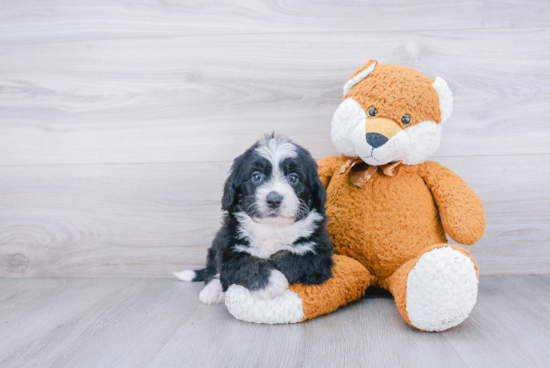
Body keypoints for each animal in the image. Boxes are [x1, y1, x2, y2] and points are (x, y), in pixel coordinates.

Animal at [175, 134, 334, 304]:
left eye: (293, 178)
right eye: (256, 176)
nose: (274, 199)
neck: (272, 229)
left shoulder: (318, 252)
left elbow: (289, 257)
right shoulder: (229, 244)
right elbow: (243, 261)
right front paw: (270, 282)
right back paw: (213, 289)